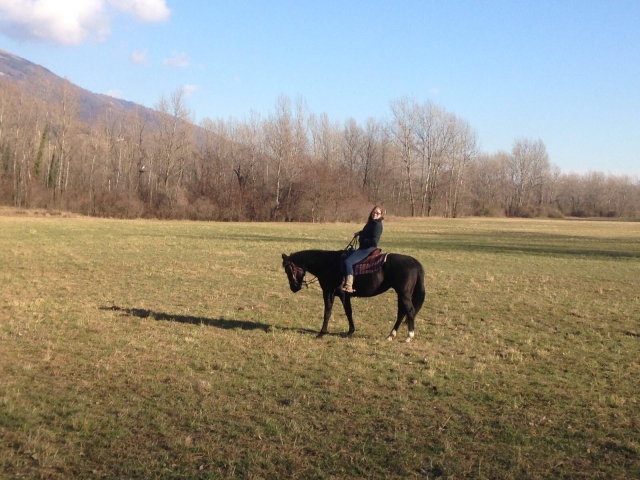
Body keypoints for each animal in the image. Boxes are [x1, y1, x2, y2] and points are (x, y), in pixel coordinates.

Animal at [281, 249, 425, 342]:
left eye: (289, 270)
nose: (293, 288)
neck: (329, 264)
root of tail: (413, 261)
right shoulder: (338, 294)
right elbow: (341, 312)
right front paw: (347, 331)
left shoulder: (333, 293)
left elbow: (334, 312)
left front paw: (323, 333)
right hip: (401, 294)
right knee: (401, 313)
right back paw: (391, 335)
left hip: (404, 294)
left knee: (410, 311)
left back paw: (409, 336)